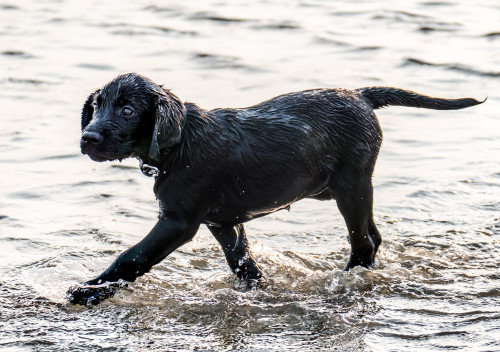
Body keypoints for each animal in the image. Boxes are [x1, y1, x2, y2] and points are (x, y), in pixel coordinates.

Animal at [66, 72, 480, 306]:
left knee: (362, 242)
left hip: (351, 185)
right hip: (348, 188)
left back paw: (344, 280)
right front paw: (256, 291)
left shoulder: (178, 222)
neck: (180, 142)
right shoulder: (223, 222)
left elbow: (132, 257)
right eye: (96, 107)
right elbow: (243, 264)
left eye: (127, 111)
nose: (88, 138)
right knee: (373, 237)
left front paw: (89, 291)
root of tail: (360, 94)